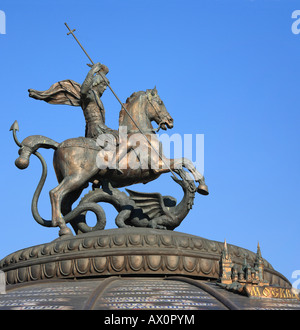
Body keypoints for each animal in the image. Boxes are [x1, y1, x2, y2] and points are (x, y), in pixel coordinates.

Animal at [15, 87, 207, 235]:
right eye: (159, 102)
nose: (170, 120)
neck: (141, 133)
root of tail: (58, 145)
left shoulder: (163, 164)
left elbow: (183, 165)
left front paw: (197, 185)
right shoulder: (157, 166)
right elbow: (184, 161)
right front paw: (201, 185)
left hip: (78, 184)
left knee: (66, 205)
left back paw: (76, 231)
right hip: (77, 178)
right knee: (55, 194)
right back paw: (63, 227)